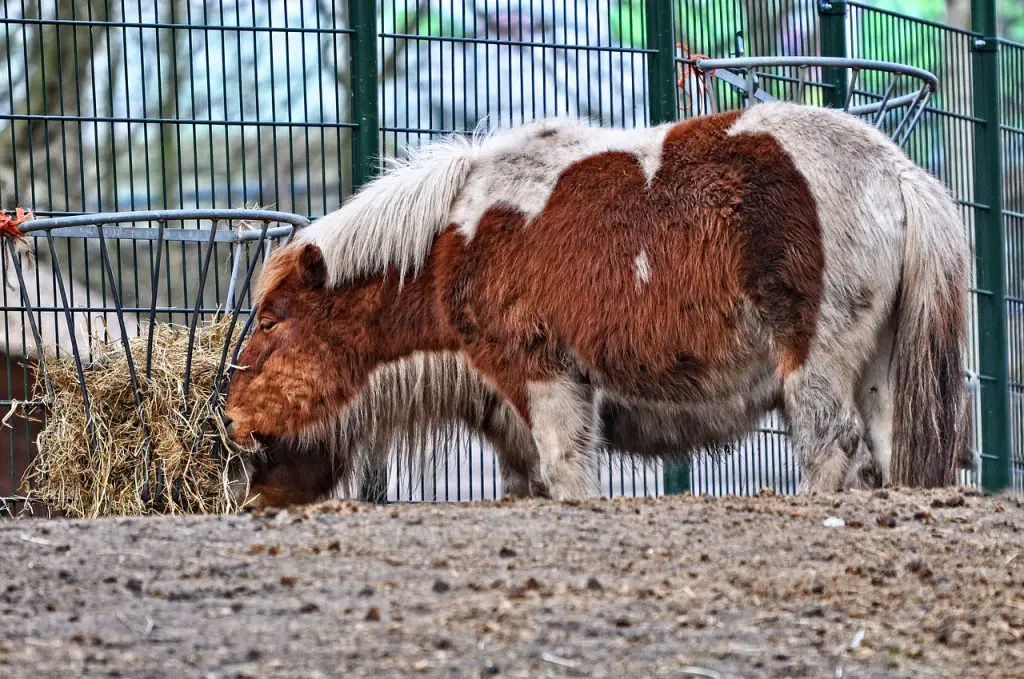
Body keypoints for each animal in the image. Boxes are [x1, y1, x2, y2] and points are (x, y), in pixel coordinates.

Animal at [224, 100, 966, 503]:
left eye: (270, 320)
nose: (228, 417)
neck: (458, 235)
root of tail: (896, 171)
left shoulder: (548, 377)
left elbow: (570, 474)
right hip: (878, 370)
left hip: (813, 363)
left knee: (833, 446)